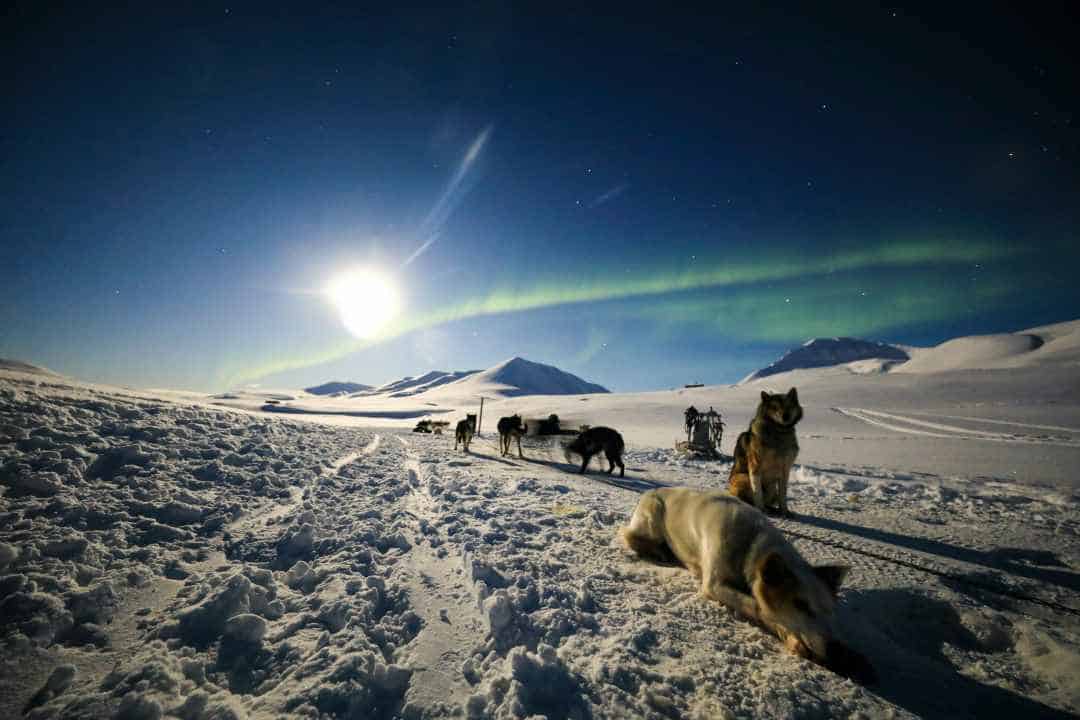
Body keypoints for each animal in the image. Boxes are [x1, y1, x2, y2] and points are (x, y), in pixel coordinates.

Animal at [622, 483, 872, 677]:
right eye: (801, 605)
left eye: (830, 611)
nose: (835, 649)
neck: (749, 543)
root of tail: (652, 490)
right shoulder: (715, 585)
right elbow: (758, 607)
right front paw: (790, 636)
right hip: (653, 516)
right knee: (629, 536)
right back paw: (659, 551)